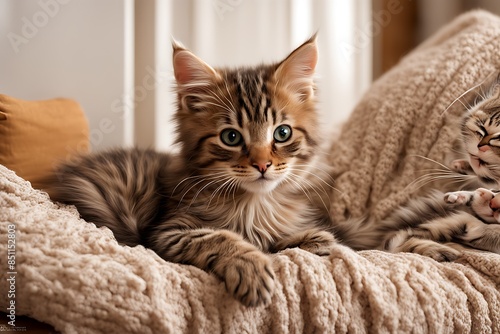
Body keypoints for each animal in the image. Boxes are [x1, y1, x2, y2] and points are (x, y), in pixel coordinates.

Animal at [46, 36, 336, 306]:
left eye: (282, 133)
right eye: (231, 137)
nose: (262, 165)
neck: (255, 204)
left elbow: (292, 241)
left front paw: (313, 240)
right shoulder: (165, 232)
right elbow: (217, 236)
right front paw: (250, 266)